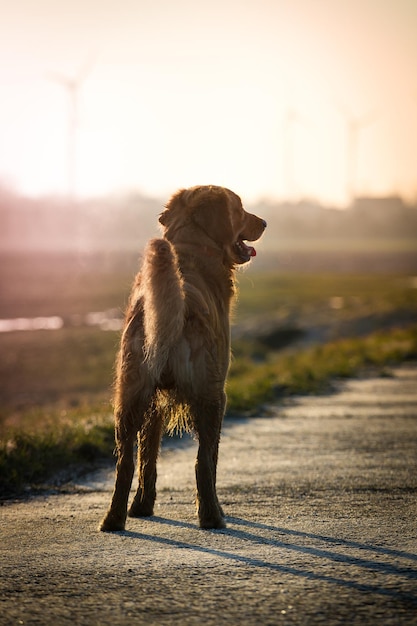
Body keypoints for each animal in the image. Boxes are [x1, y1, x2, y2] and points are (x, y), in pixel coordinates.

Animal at [99, 183, 264, 528]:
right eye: (240, 209)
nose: (265, 222)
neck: (191, 250)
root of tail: (178, 303)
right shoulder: (214, 392)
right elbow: (209, 459)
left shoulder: (154, 403)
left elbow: (148, 457)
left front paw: (142, 506)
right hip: (211, 394)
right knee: (203, 462)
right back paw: (212, 516)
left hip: (130, 395)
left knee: (125, 464)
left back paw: (114, 520)